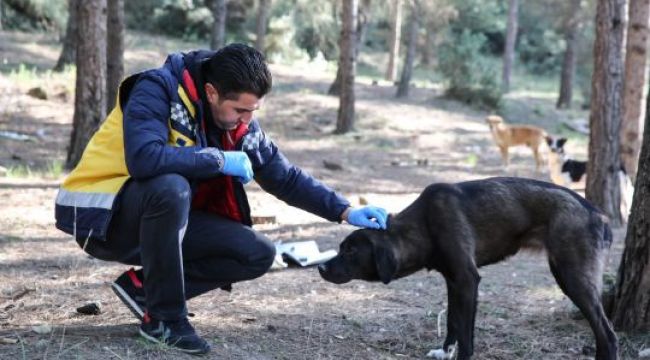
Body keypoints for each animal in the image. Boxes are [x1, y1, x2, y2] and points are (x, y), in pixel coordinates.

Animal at [318, 178, 616, 360]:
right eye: (342, 247)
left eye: (351, 251)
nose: (321, 267)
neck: (424, 224)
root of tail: (598, 215)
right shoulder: (454, 281)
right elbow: (454, 321)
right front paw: (444, 351)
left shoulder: (467, 279)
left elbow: (464, 332)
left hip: (572, 278)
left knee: (608, 332)